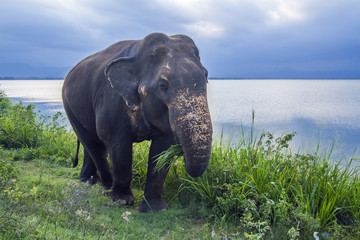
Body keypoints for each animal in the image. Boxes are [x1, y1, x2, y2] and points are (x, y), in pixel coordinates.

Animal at [62, 31, 212, 212]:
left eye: (206, 77)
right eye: (163, 85)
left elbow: (162, 149)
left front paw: (155, 208)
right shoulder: (112, 100)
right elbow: (118, 146)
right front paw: (122, 200)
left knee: (91, 144)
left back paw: (90, 181)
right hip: (69, 106)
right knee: (93, 143)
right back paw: (106, 187)